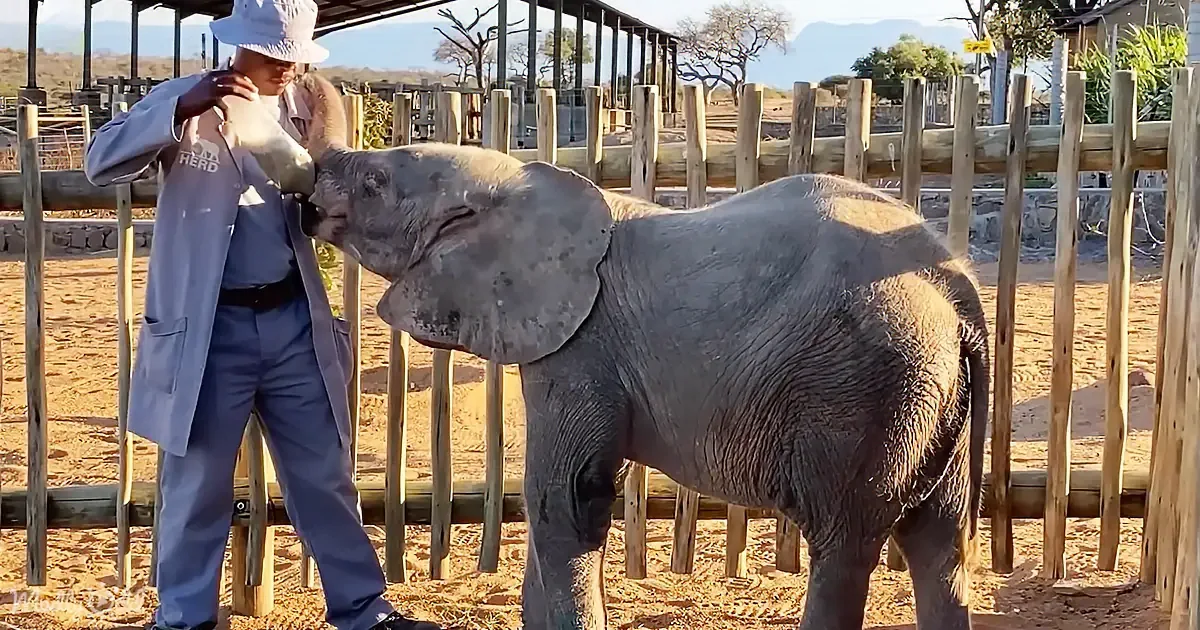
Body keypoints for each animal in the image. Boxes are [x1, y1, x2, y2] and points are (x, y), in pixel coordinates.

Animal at [224, 71, 991, 630]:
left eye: (375, 183)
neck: (519, 184)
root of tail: (953, 285)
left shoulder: (580, 348)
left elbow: (565, 499)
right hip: (927, 393)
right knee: (940, 544)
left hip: (864, 386)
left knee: (844, 543)